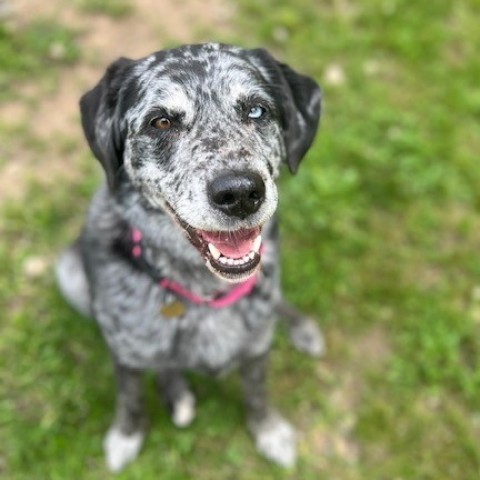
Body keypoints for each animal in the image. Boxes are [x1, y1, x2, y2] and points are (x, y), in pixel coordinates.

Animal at [56, 43, 324, 470]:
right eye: (161, 121)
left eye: (256, 110)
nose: (240, 193)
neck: (203, 289)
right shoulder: (126, 353)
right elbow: (131, 399)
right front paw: (125, 437)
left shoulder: (256, 351)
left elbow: (257, 395)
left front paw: (269, 432)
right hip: (69, 275)